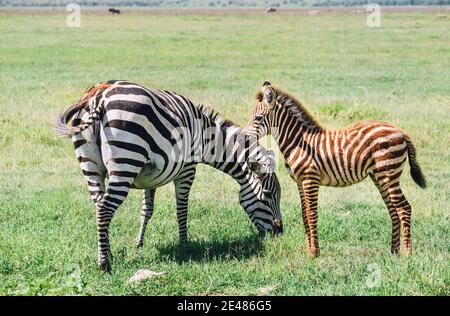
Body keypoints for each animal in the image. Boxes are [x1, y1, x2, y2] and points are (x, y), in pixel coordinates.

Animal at [55, 79, 282, 272]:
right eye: (267, 195)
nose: (279, 232)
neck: (206, 138)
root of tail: (99, 95)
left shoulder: (149, 177)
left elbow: (146, 210)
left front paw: (139, 243)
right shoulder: (188, 170)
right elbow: (182, 209)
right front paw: (184, 244)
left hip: (91, 166)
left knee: (98, 206)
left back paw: (106, 252)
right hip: (125, 162)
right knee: (104, 209)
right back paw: (105, 263)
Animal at [244, 81, 428, 256]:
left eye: (258, 118)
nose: (245, 139)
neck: (299, 142)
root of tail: (401, 132)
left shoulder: (310, 180)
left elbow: (311, 214)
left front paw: (314, 253)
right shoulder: (299, 182)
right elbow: (304, 214)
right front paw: (308, 250)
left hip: (389, 174)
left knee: (404, 208)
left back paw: (407, 254)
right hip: (380, 176)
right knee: (393, 209)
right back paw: (393, 252)